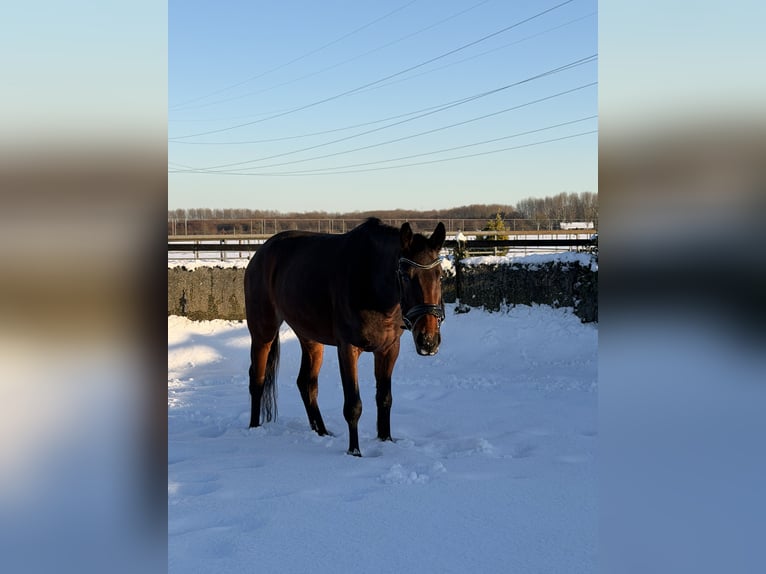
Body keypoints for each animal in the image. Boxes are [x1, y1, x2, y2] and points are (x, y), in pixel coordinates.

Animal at [244, 217, 446, 456]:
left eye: (440, 275)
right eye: (406, 276)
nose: (428, 341)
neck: (369, 278)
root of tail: (260, 253)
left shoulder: (388, 349)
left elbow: (384, 398)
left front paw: (386, 440)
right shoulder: (348, 349)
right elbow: (353, 405)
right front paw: (354, 452)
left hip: (310, 338)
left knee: (306, 383)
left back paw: (321, 432)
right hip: (262, 333)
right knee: (257, 379)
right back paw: (254, 428)